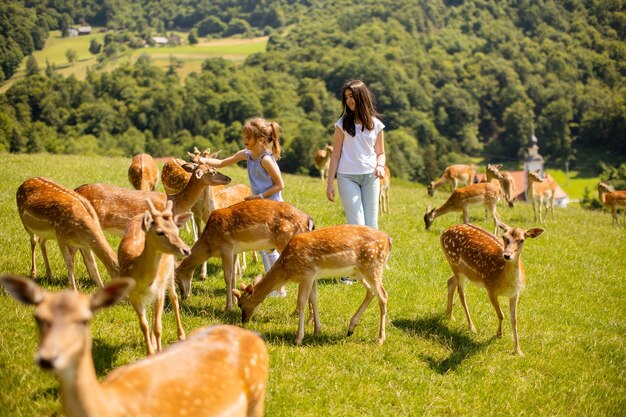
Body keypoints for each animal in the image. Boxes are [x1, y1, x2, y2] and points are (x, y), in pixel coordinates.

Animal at [118, 199, 191, 354]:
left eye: (177, 231)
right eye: (160, 232)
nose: (187, 250)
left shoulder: (159, 291)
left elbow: (158, 327)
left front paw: (159, 351)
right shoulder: (132, 296)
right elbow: (143, 325)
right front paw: (150, 352)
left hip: (169, 273)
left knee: (174, 298)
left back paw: (181, 335)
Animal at [174, 200, 312, 310]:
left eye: (176, 278)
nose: (184, 296)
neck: (209, 245)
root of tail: (309, 221)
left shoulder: (226, 248)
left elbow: (227, 277)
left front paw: (228, 307)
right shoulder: (234, 251)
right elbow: (234, 276)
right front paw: (235, 301)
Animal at [234, 224, 390, 344]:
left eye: (241, 304)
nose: (244, 320)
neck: (286, 269)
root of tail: (389, 241)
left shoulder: (307, 274)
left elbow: (301, 302)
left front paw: (298, 338)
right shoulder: (314, 277)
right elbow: (314, 299)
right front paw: (317, 331)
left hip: (372, 266)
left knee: (383, 294)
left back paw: (380, 339)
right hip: (359, 272)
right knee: (371, 291)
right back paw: (351, 328)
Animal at [438, 221, 540, 354]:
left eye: (522, 240)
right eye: (504, 237)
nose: (507, 255)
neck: (504, 279)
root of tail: (444, 232)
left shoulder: (515, 293)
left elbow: (514, 319)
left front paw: (518, 351)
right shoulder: (490, 288)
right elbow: (501, 314)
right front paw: (499, 334)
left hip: (462, 271)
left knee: (450, 282)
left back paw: (449, 315)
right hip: (453, 262)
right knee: (461, 294)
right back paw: (472, 327)